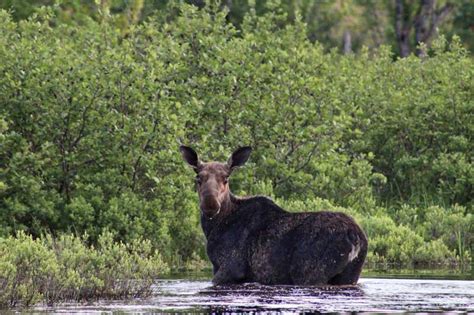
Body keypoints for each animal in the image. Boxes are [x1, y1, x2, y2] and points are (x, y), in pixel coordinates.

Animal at [180, 146, 368, 286]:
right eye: (198, 177)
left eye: (226, 178)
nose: (210, 204)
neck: (214, 227)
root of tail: (355, 237)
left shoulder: (230, 267)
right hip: (350, 275)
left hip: (311, 272)